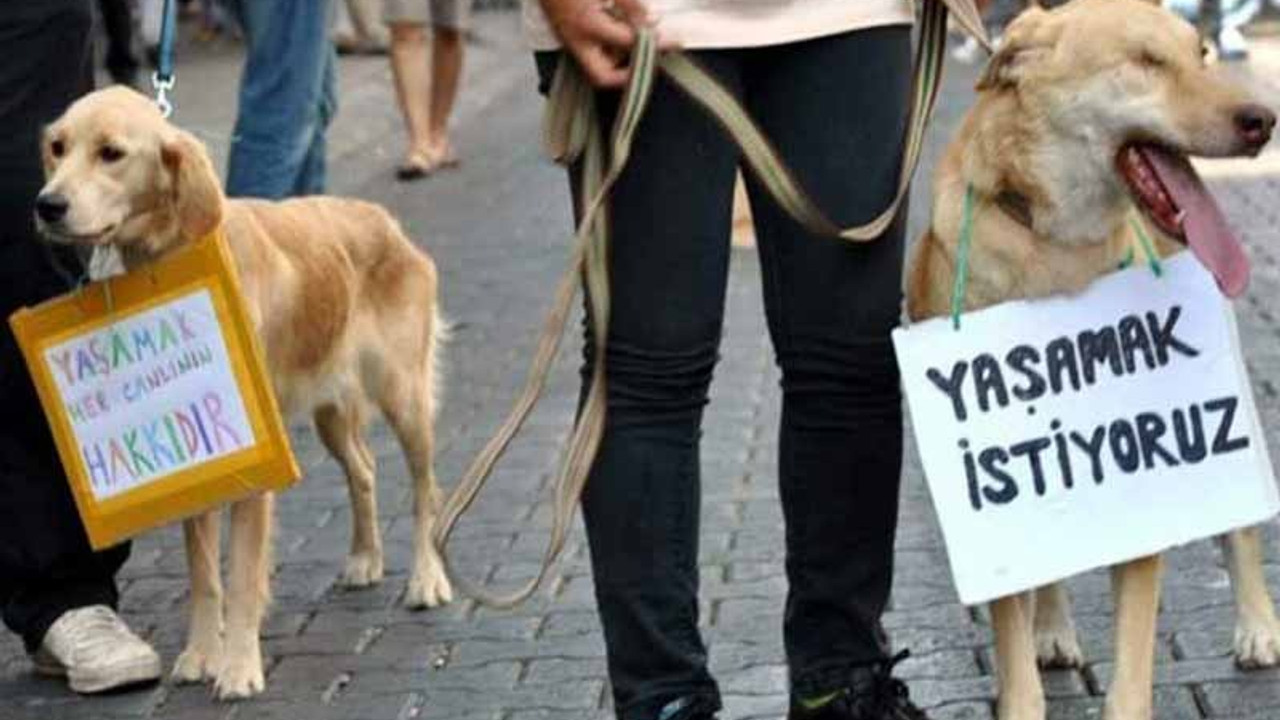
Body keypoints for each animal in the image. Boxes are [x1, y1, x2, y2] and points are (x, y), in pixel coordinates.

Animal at [35, 87, 458, 696]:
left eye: (110, 153)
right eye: (58, 148)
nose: (47, 205)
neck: (171, 252)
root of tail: (385, 220)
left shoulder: (254, 468)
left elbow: (239, 577)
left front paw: (237, 667)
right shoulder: (205, 466)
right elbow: (204, 576)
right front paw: (199, 654)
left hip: (403, 397)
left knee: (426, 490)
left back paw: (426, 579)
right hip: (331, 413)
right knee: (365, 471)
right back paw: (364, 558)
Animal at [906, 1, 1274, 717]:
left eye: (1200, 52)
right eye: (1145, 61)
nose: (1262, 121)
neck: (1057, 252)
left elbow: (1131, 658)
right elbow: (1013, 640)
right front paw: (1025, 679)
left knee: (1241, 528)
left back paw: (1257, 626)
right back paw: (1052, 629)